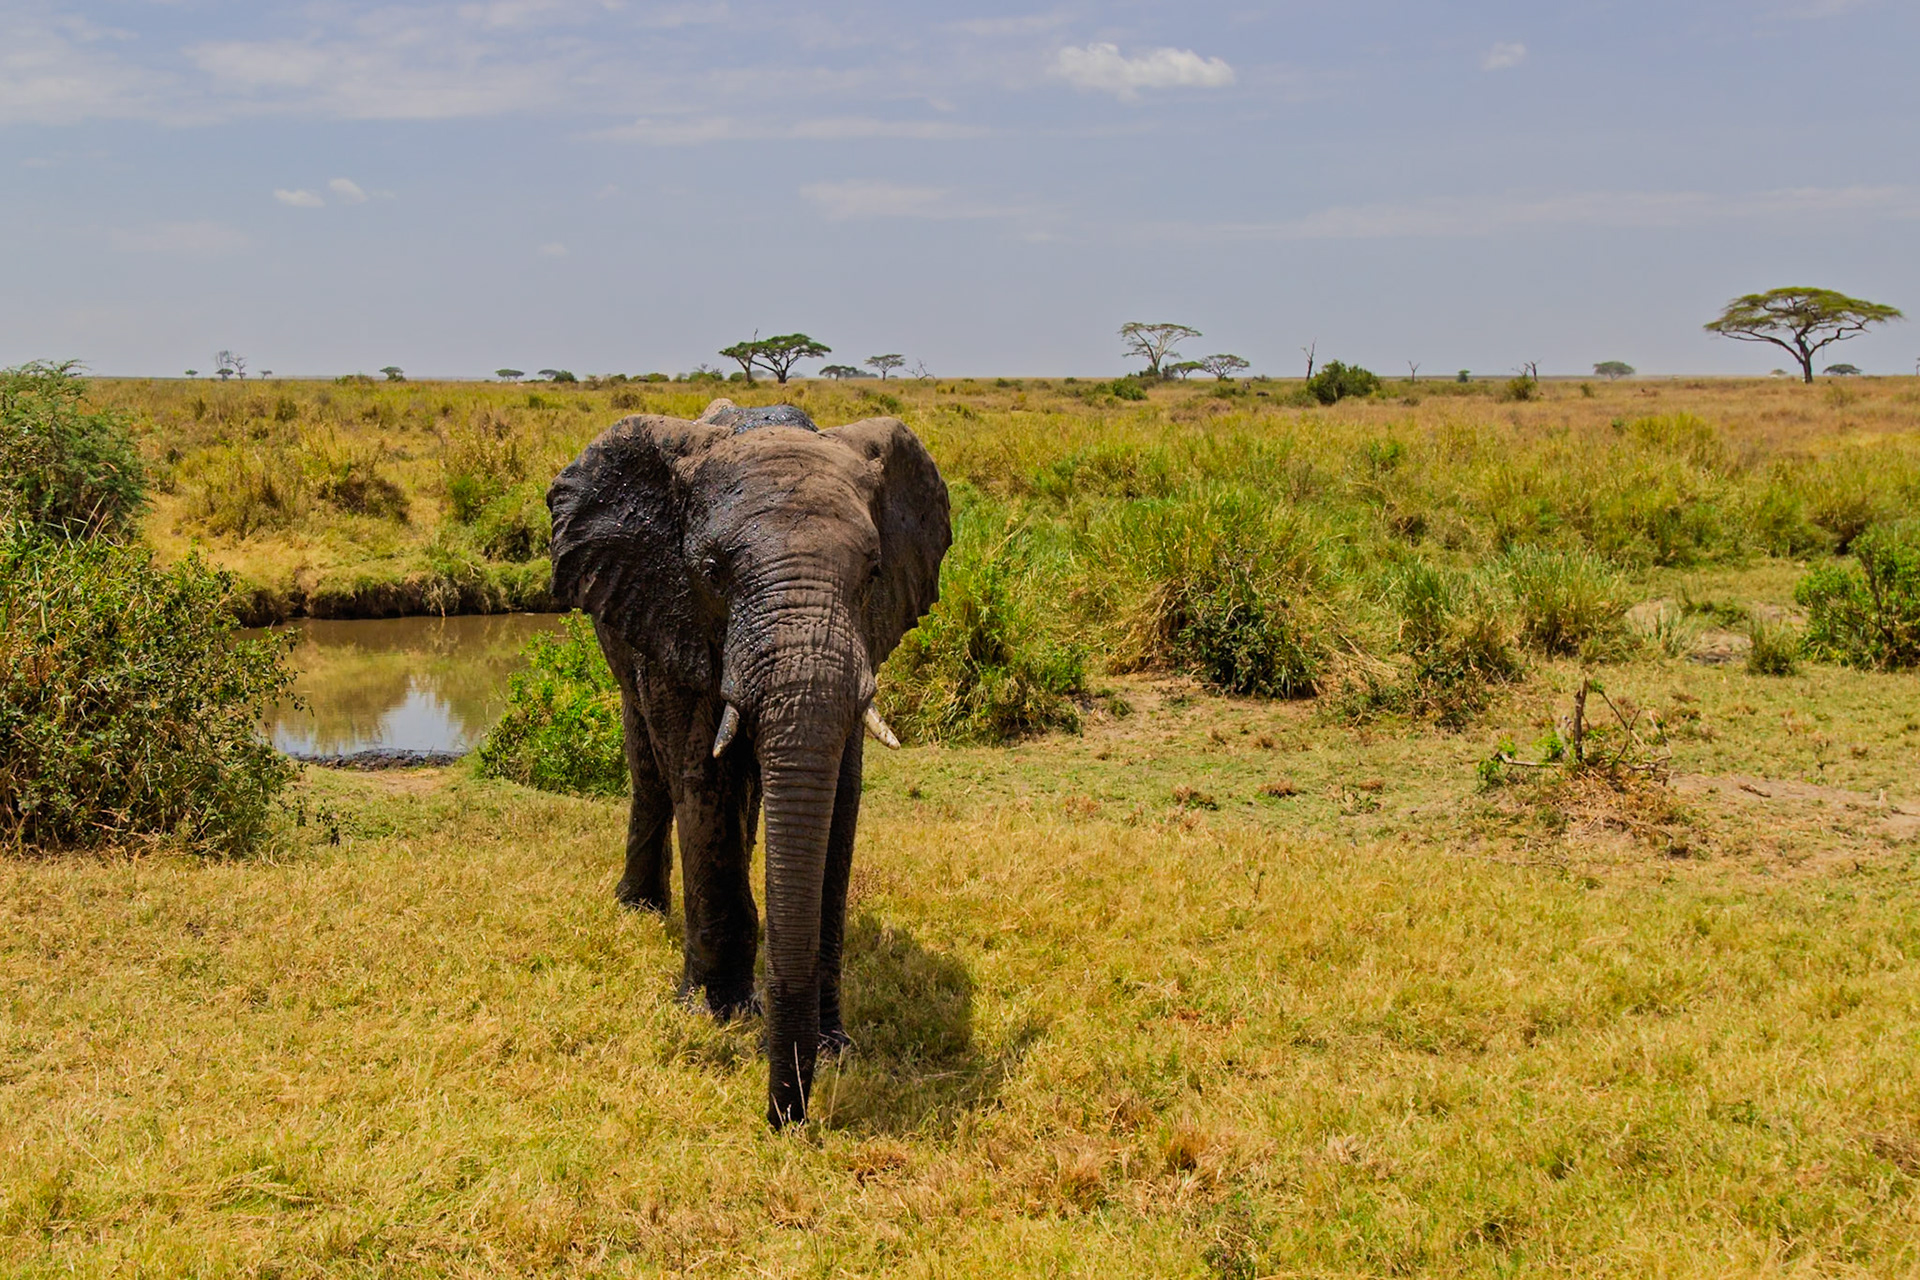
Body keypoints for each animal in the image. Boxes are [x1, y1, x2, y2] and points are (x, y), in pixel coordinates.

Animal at [547, 397, 951, 1126]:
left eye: (874, 574)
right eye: (711, 573)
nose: (786, 1117)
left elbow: (838, 800)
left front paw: (833, 1045)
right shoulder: (668, 607)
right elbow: (700, 778)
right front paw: (716, 1017)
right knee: (651, 765)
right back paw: (639, 908)